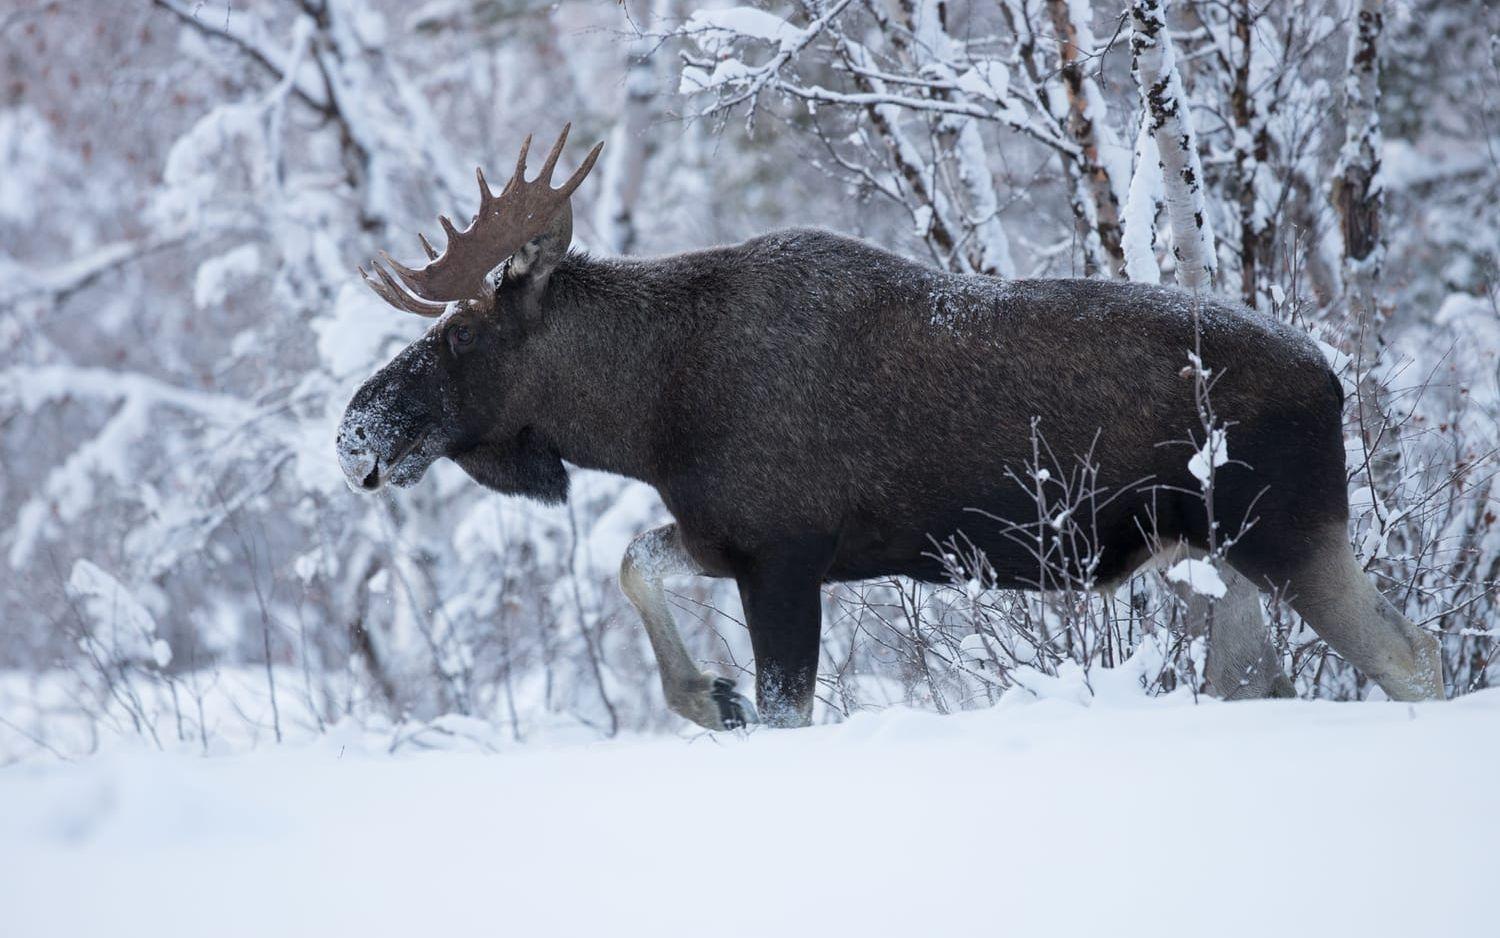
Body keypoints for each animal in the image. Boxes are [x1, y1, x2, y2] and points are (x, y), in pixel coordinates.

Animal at [337, 126, 1440, 723]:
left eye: (462, 330)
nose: (355, 433)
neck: (647, 417)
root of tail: (1334, 382)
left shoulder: (784, 552)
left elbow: (787, 710)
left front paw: (725, 698)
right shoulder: (729, 537)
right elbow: (634, 562)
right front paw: (709, 697)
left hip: (1286, 528)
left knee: (1413, 657)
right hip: (1220, 550)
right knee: (1264, 681)